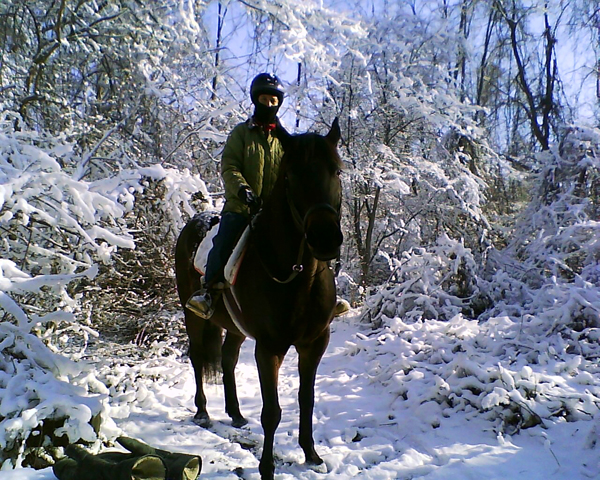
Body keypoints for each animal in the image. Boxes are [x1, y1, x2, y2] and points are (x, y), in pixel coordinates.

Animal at [173, 118, 342, 478]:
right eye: (290, 175)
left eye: (336, 170)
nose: (325, 239)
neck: (297, 275)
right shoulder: (269, 348)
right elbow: (272, 412)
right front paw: (267, 468)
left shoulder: (315, 343)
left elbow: (306, 399)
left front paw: (312, 455)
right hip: (192, 315)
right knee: (198, 357)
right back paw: (203, 412)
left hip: (235, 327)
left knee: (228, 359)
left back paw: (235, 413)